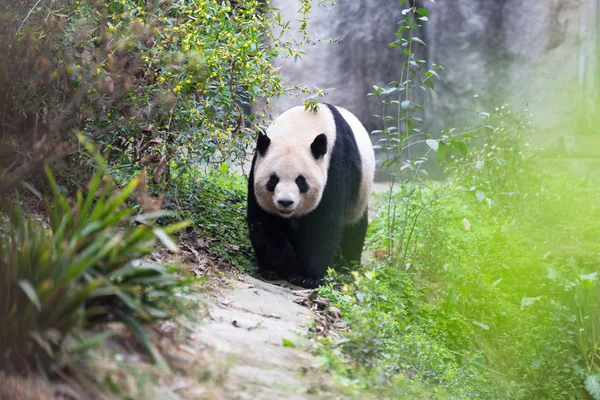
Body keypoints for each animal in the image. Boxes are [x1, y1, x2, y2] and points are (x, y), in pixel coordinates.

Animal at [246, 104, 372, 288]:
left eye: (301, 181)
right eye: (273, 180)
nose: (285, 202)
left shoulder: (336, 165)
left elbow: (324, 223)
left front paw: (310, 277)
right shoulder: (257, 165)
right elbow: (265, 222)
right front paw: (291, 269)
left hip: (360, 194)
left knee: (355, 226)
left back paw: (347, 263)